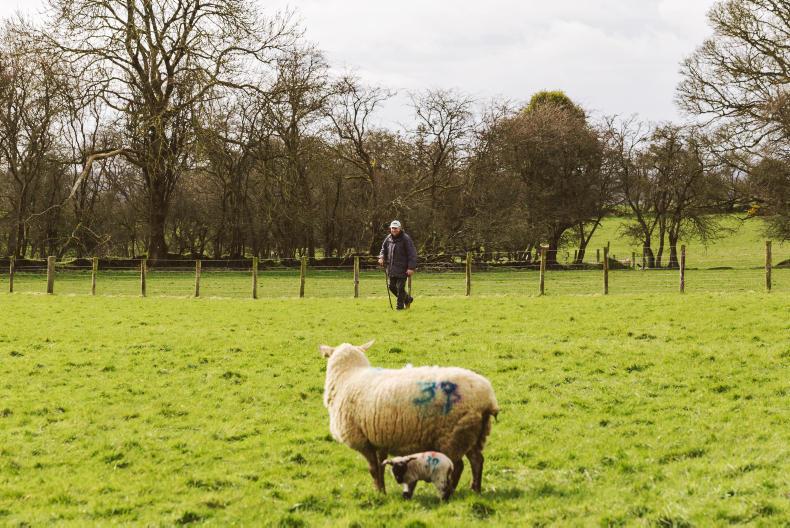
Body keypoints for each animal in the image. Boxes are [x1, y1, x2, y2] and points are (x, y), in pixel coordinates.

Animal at [320, 340, 498, 495]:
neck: (348, 377)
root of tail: (487, 398)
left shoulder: (363, 441)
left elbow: (373, 469)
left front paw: (379, 492)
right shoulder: (380, 440)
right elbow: (381, 466)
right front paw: (383, 491)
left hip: (453, 436)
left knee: (458, 466)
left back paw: (451, 491)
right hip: (472, 435)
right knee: (477, 461)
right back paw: (475, 489)